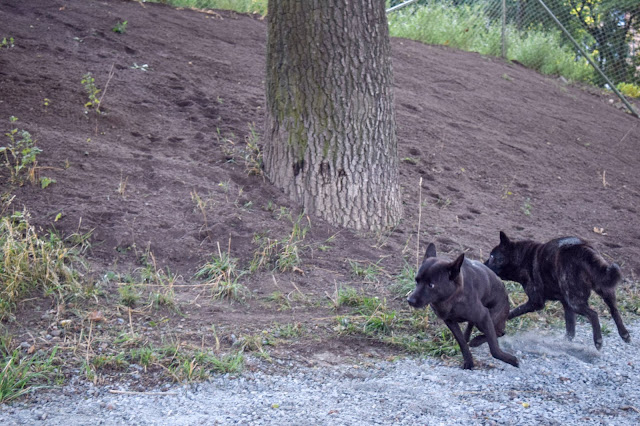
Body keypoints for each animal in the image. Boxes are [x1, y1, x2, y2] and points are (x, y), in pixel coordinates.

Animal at [485, 231, 631, 349]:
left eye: (492, 256)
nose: (482, 264)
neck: (523, 257)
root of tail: (581, 247)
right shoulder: (566, 305)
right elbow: (570, 329)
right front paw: (565, 343)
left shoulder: (536, 302)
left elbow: (513, 312)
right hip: (604, 290)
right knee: (614, 310)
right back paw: (624, 334)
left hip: (575, 302)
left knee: (593, 314)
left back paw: (598, 341)